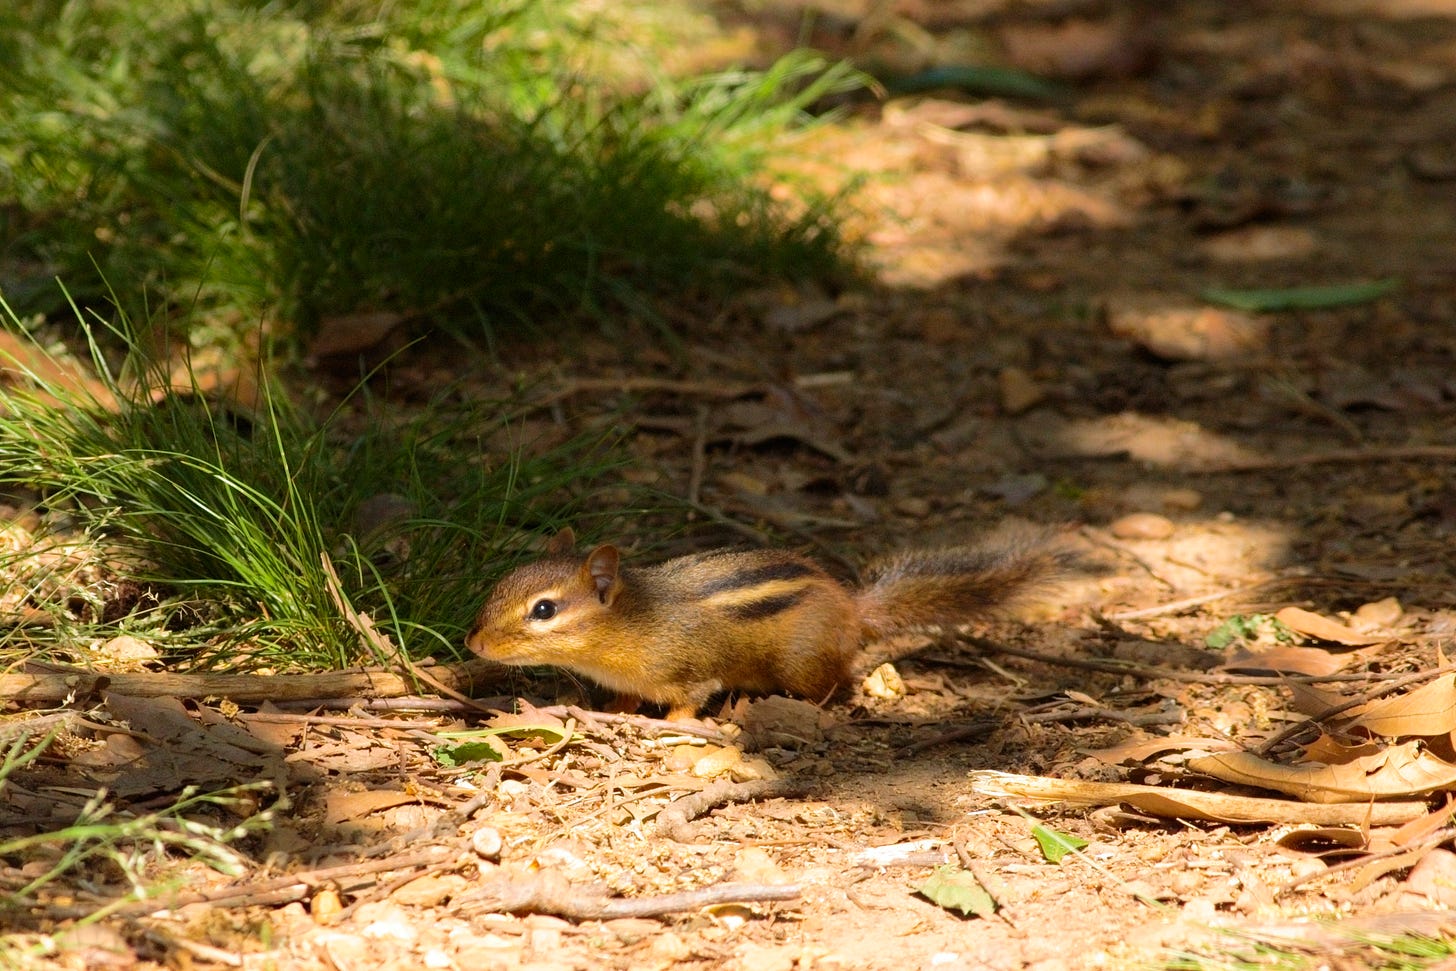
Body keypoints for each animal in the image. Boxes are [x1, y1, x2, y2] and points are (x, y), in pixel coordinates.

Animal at [465, 524, 1076, 720]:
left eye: (544, 610)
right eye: (501, 582)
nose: (473, 642)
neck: (632, 622)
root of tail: (851, 606)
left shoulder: (689, 671)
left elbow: (688, 701)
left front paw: (669, 727)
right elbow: (627, 699)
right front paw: (615, 711)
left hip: (801, 663)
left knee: (834, 686)